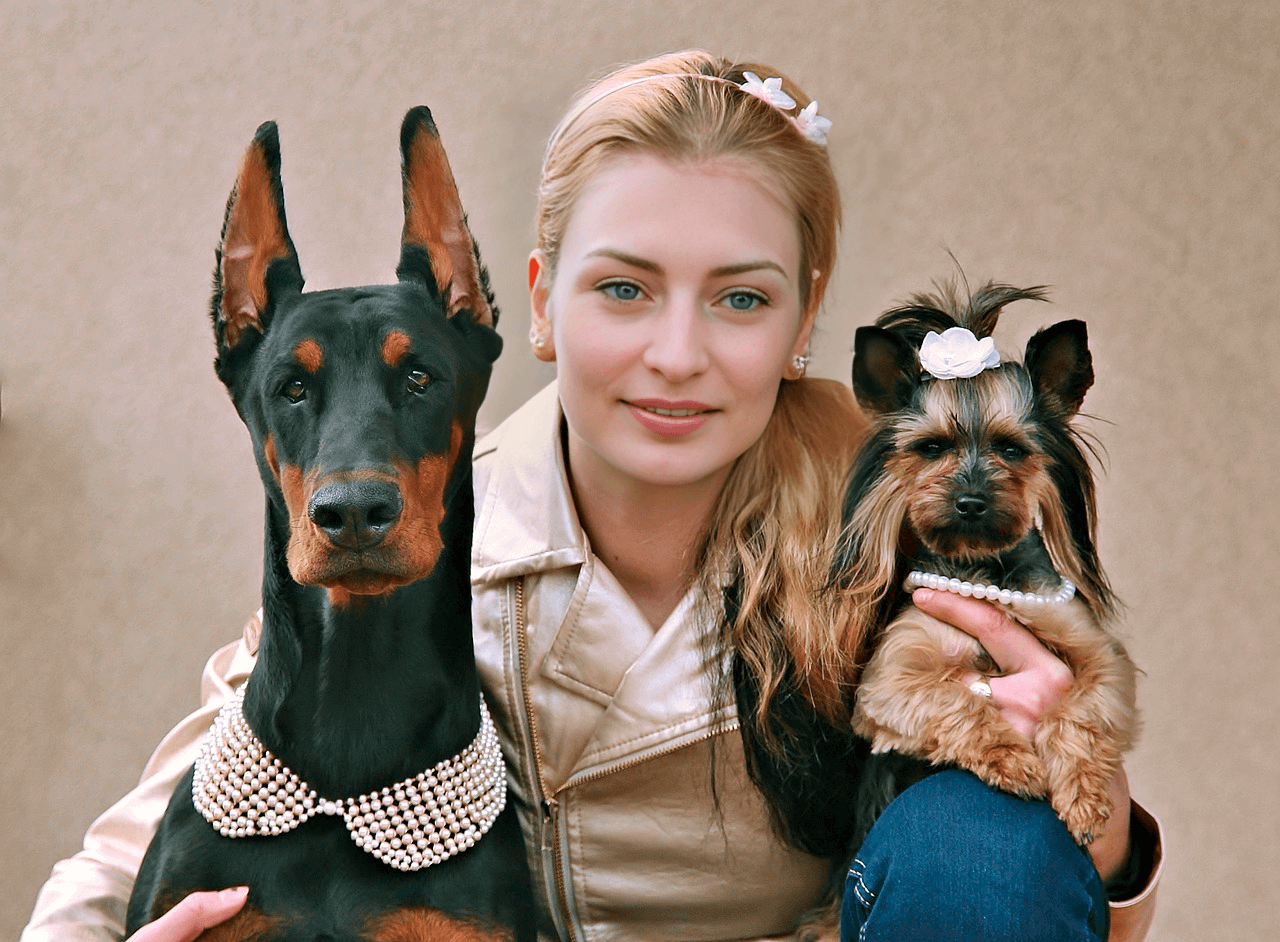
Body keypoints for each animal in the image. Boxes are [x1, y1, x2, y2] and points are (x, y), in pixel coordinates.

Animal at [839, 281, 1141, 844]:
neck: (985, 568)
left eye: (1012, 449)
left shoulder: (1101, 660)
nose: (971, 502)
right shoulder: (890, 680)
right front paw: (1011, 758)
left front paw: (1084, 798)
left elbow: (1079, 713)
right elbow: (959, 700)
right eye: (930, 448)